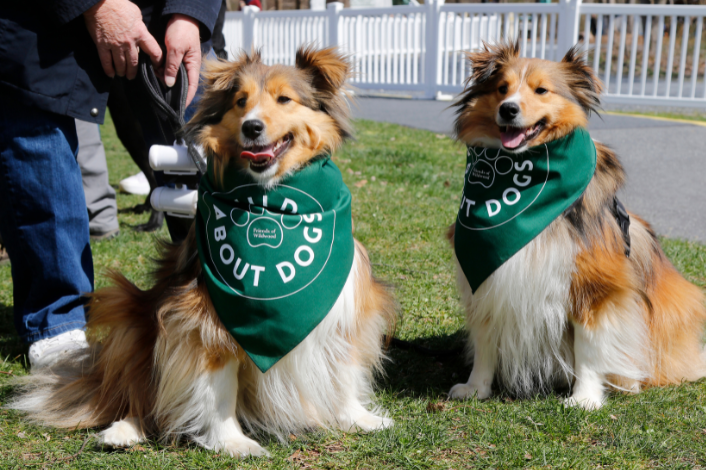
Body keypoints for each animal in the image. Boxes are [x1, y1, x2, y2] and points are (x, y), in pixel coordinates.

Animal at [9, 47, 396, 456]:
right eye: (241, 101)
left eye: (284, 99)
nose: (252, 127)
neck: (270, 199)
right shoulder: (199, 315)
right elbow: (218, 385)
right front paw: (231, 441)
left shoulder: (345, 304)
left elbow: (344, 368)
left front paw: (357, 417)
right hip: (132, 321)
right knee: (140, 396)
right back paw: (124, 430)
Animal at [446, 42, 704, 410]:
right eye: (501, 89)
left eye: (541, 90)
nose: (508, 110)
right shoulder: (485, 279)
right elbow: (485, 341)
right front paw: (476, 387)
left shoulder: (595, 286)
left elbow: (589, 349)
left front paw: (585, 397)